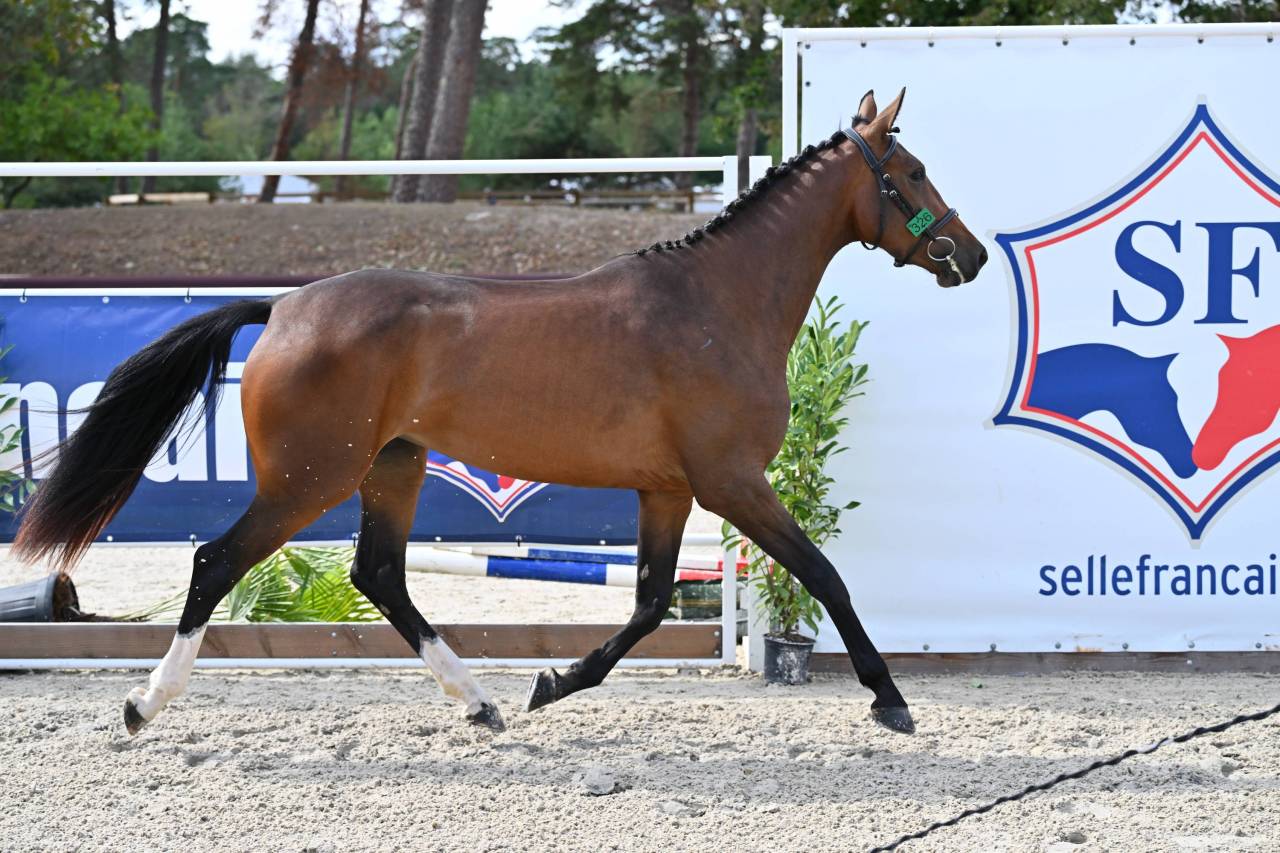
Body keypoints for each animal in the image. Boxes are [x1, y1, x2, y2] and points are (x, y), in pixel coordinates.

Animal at [13, 88, 986, 737]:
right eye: (910, 171)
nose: (970, 255)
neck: (714, 305)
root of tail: (284, 307)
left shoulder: (669, 488)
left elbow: (648, 603)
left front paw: (552, 682)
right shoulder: (732, 481)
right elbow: (825, 574)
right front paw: (889, 698)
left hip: (392, 466)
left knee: (379, 575)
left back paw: (482, 700)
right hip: (309, 478)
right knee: (217, 562)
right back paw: (143, 703)